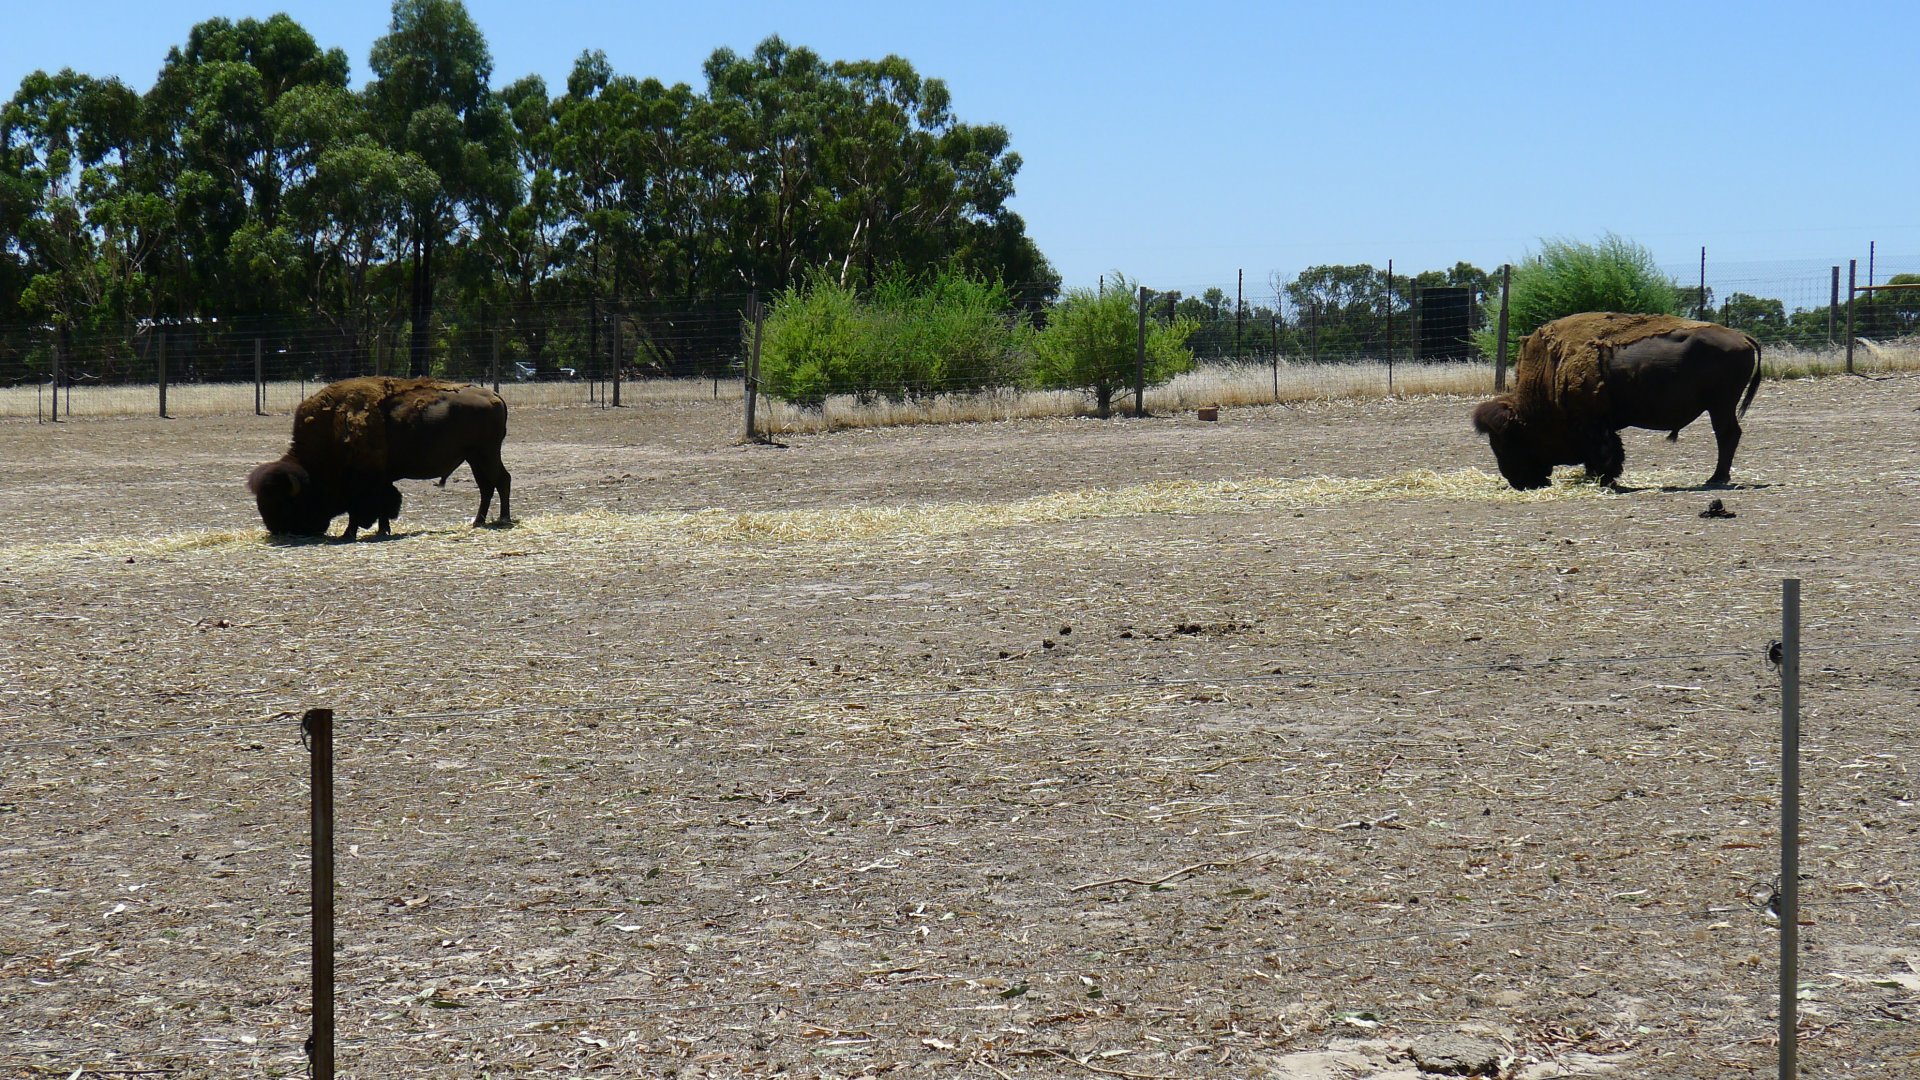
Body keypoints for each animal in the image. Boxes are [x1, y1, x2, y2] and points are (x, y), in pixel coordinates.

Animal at [248, 377, 511, 539]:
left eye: (284, 504)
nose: (277, 530)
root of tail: (494, 396)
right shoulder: (381, 480)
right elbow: (384, 505)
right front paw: (382, 530)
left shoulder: (363, 483)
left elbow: (360, 509)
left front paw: (349, 533)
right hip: (475, 457)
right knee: (487, 486)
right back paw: (478, 521)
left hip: (485, 453)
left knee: (502, 480)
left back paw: (503, 519)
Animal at [1472, 312, 1762, 490]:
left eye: (1508, 440)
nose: (1517, 481)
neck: (1549, 371)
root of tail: (1742, 337)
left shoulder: (1594, 424)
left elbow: (1605, 451)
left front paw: (1603, 478)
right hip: (1721, 405)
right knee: (1730, 434)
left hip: (1721, 405)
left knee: (1726, 434)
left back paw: (1715, 478)